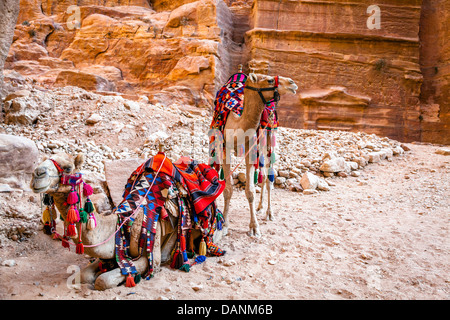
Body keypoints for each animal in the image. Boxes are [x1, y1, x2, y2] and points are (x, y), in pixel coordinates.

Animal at [215, 73, 298, 238]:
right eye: (270, 80)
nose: (292, 83)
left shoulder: (251, 149)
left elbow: (250, 191)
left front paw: (254, 228)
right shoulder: (225, 148)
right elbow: (228, 190)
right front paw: (225, 225)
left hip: (269, 140)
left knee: (268, 178)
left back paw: (269, 213)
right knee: (264, 175)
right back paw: (260, 207)